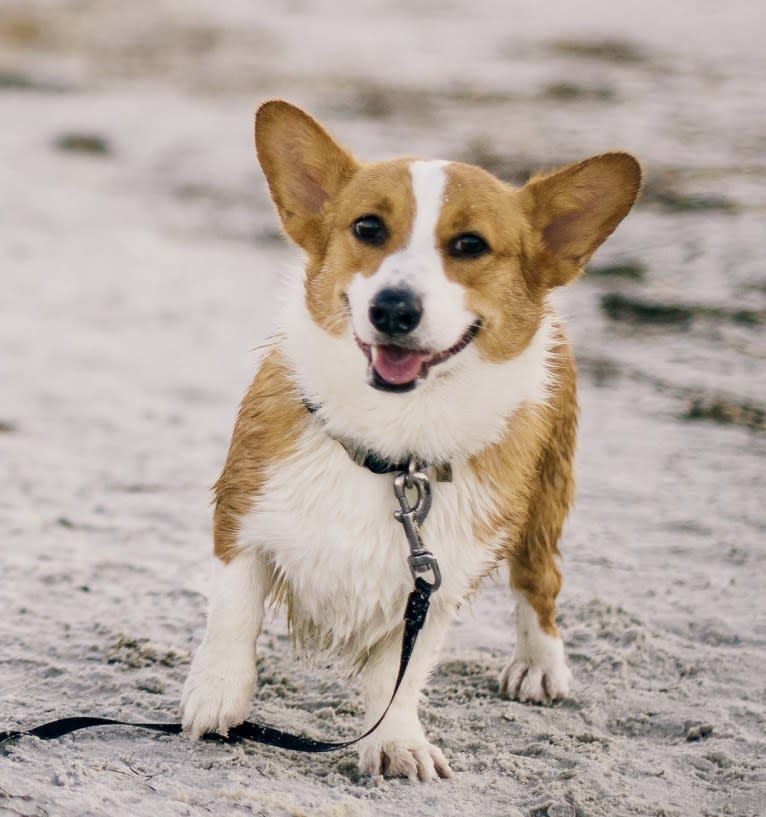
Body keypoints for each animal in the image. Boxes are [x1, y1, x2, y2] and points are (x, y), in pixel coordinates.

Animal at [183, 99, 644, 780]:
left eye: (470, 245)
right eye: (368, 228)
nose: (394, 308)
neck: (392, 448)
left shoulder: (437, 577)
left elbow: (399, 677)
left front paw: (396, 743)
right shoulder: (242, 514)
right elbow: (233, 615)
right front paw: (216, 698)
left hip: (547, 496)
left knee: (540, 581)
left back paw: (540, 663)